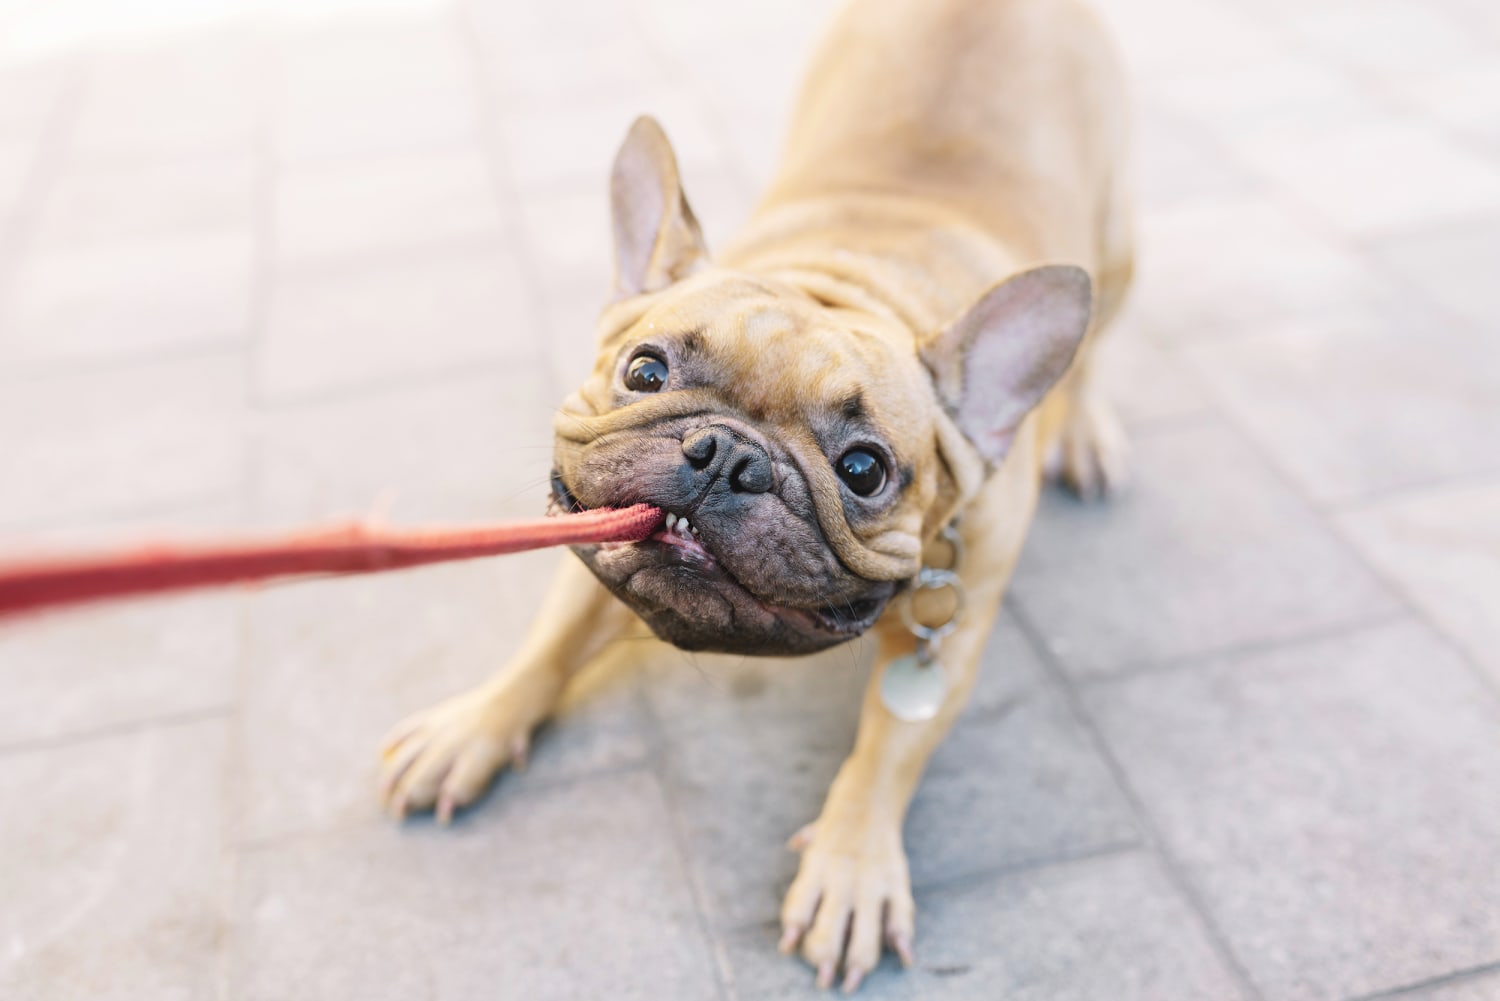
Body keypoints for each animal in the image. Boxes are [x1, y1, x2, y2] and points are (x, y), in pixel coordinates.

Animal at [375, 0, 1128, 984]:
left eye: (864, 469)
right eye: (644, 370)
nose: (728, 456)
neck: (854, 276)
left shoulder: (953, 634)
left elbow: (891, 741)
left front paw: (851, 863)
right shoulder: (590, 532)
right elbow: (549, 639)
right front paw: (475, 722)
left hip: (1120, 244)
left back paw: (1085, 428)